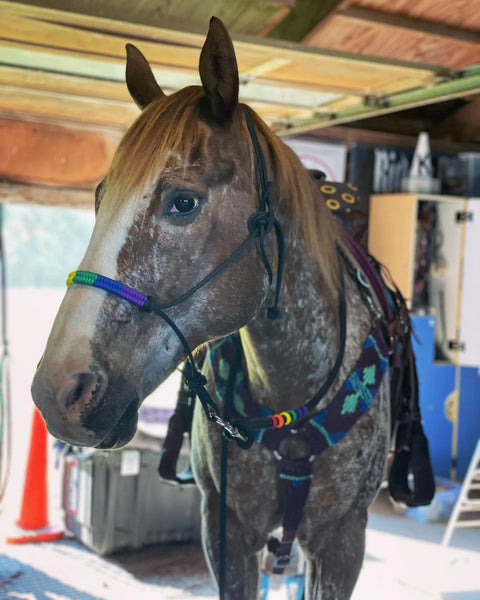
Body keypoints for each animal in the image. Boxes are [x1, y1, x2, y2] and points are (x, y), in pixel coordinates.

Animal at [31, 17, 434, 600]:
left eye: (183, 202)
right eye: (100, 197)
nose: (58, 391)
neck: (290, 391)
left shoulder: (341, 542)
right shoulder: (226, 532)